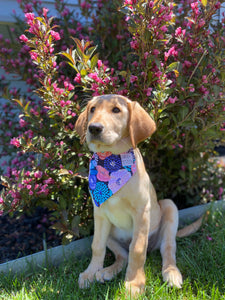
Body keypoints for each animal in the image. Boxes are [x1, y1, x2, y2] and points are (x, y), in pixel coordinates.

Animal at [75, 94, 202, 296]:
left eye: (116, 110)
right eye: (92, 109)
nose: (94, 128)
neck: (111, 162)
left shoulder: (142, 212)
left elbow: (137, 249)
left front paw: (134, 283)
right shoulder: (100, 215)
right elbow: (97, 246)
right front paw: (90, 272)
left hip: (169, 208)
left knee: (167, 250)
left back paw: (171, 274)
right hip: (110, 233)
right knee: (122, 255)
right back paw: (106, 272)